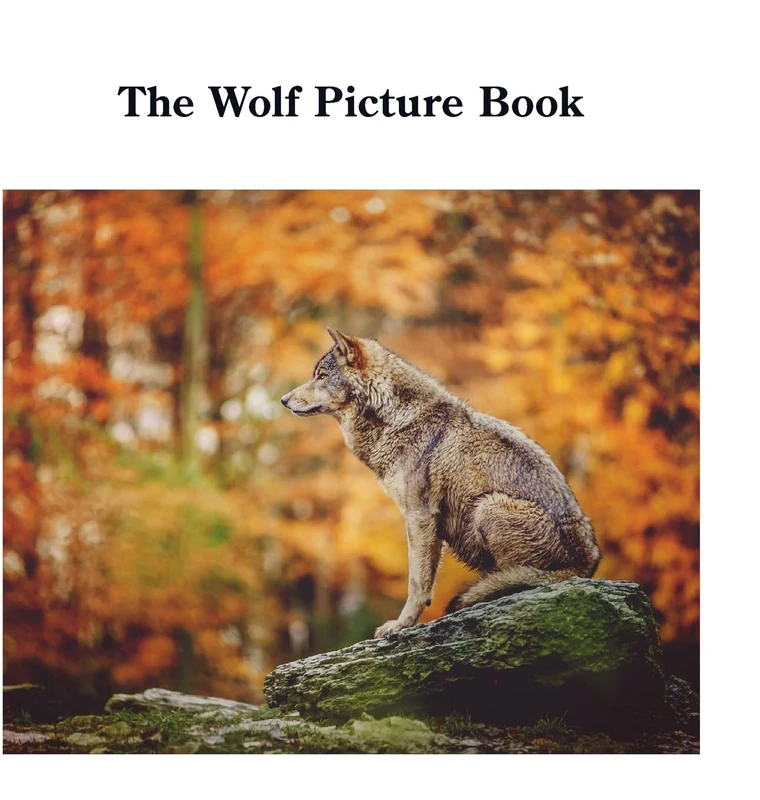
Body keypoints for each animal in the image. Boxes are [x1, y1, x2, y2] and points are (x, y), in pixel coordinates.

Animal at [281, 329, 601, 638]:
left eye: (321, 375)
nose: (283, 400)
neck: (398, 419)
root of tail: (587, 563)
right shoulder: (429, 524)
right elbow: (424, 582)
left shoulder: (419, 516)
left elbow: (416, 582)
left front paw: (400, 626)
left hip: (488, 507)